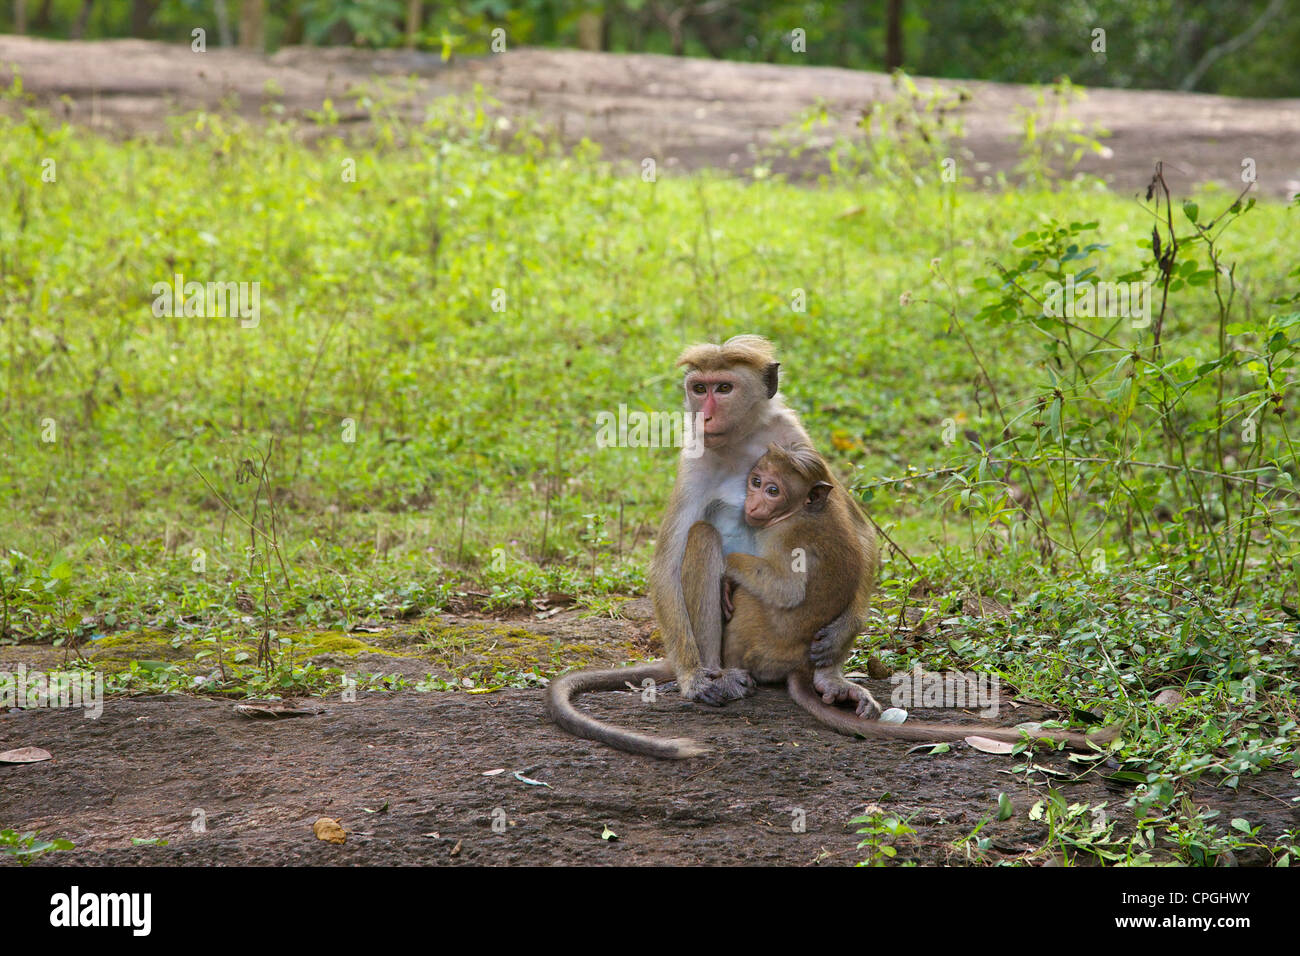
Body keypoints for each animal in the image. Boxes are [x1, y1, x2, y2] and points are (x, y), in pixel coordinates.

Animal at [548, 443, 1119, 758]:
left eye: (772, 489)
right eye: (756, 481)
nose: (753, 500)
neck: (805, 509)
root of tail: (796, 665)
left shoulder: (784, 536)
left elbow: (786, 587)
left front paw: (735, 575)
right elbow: (866, 545)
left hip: (746, 642)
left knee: (706, 538)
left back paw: (721, 672)